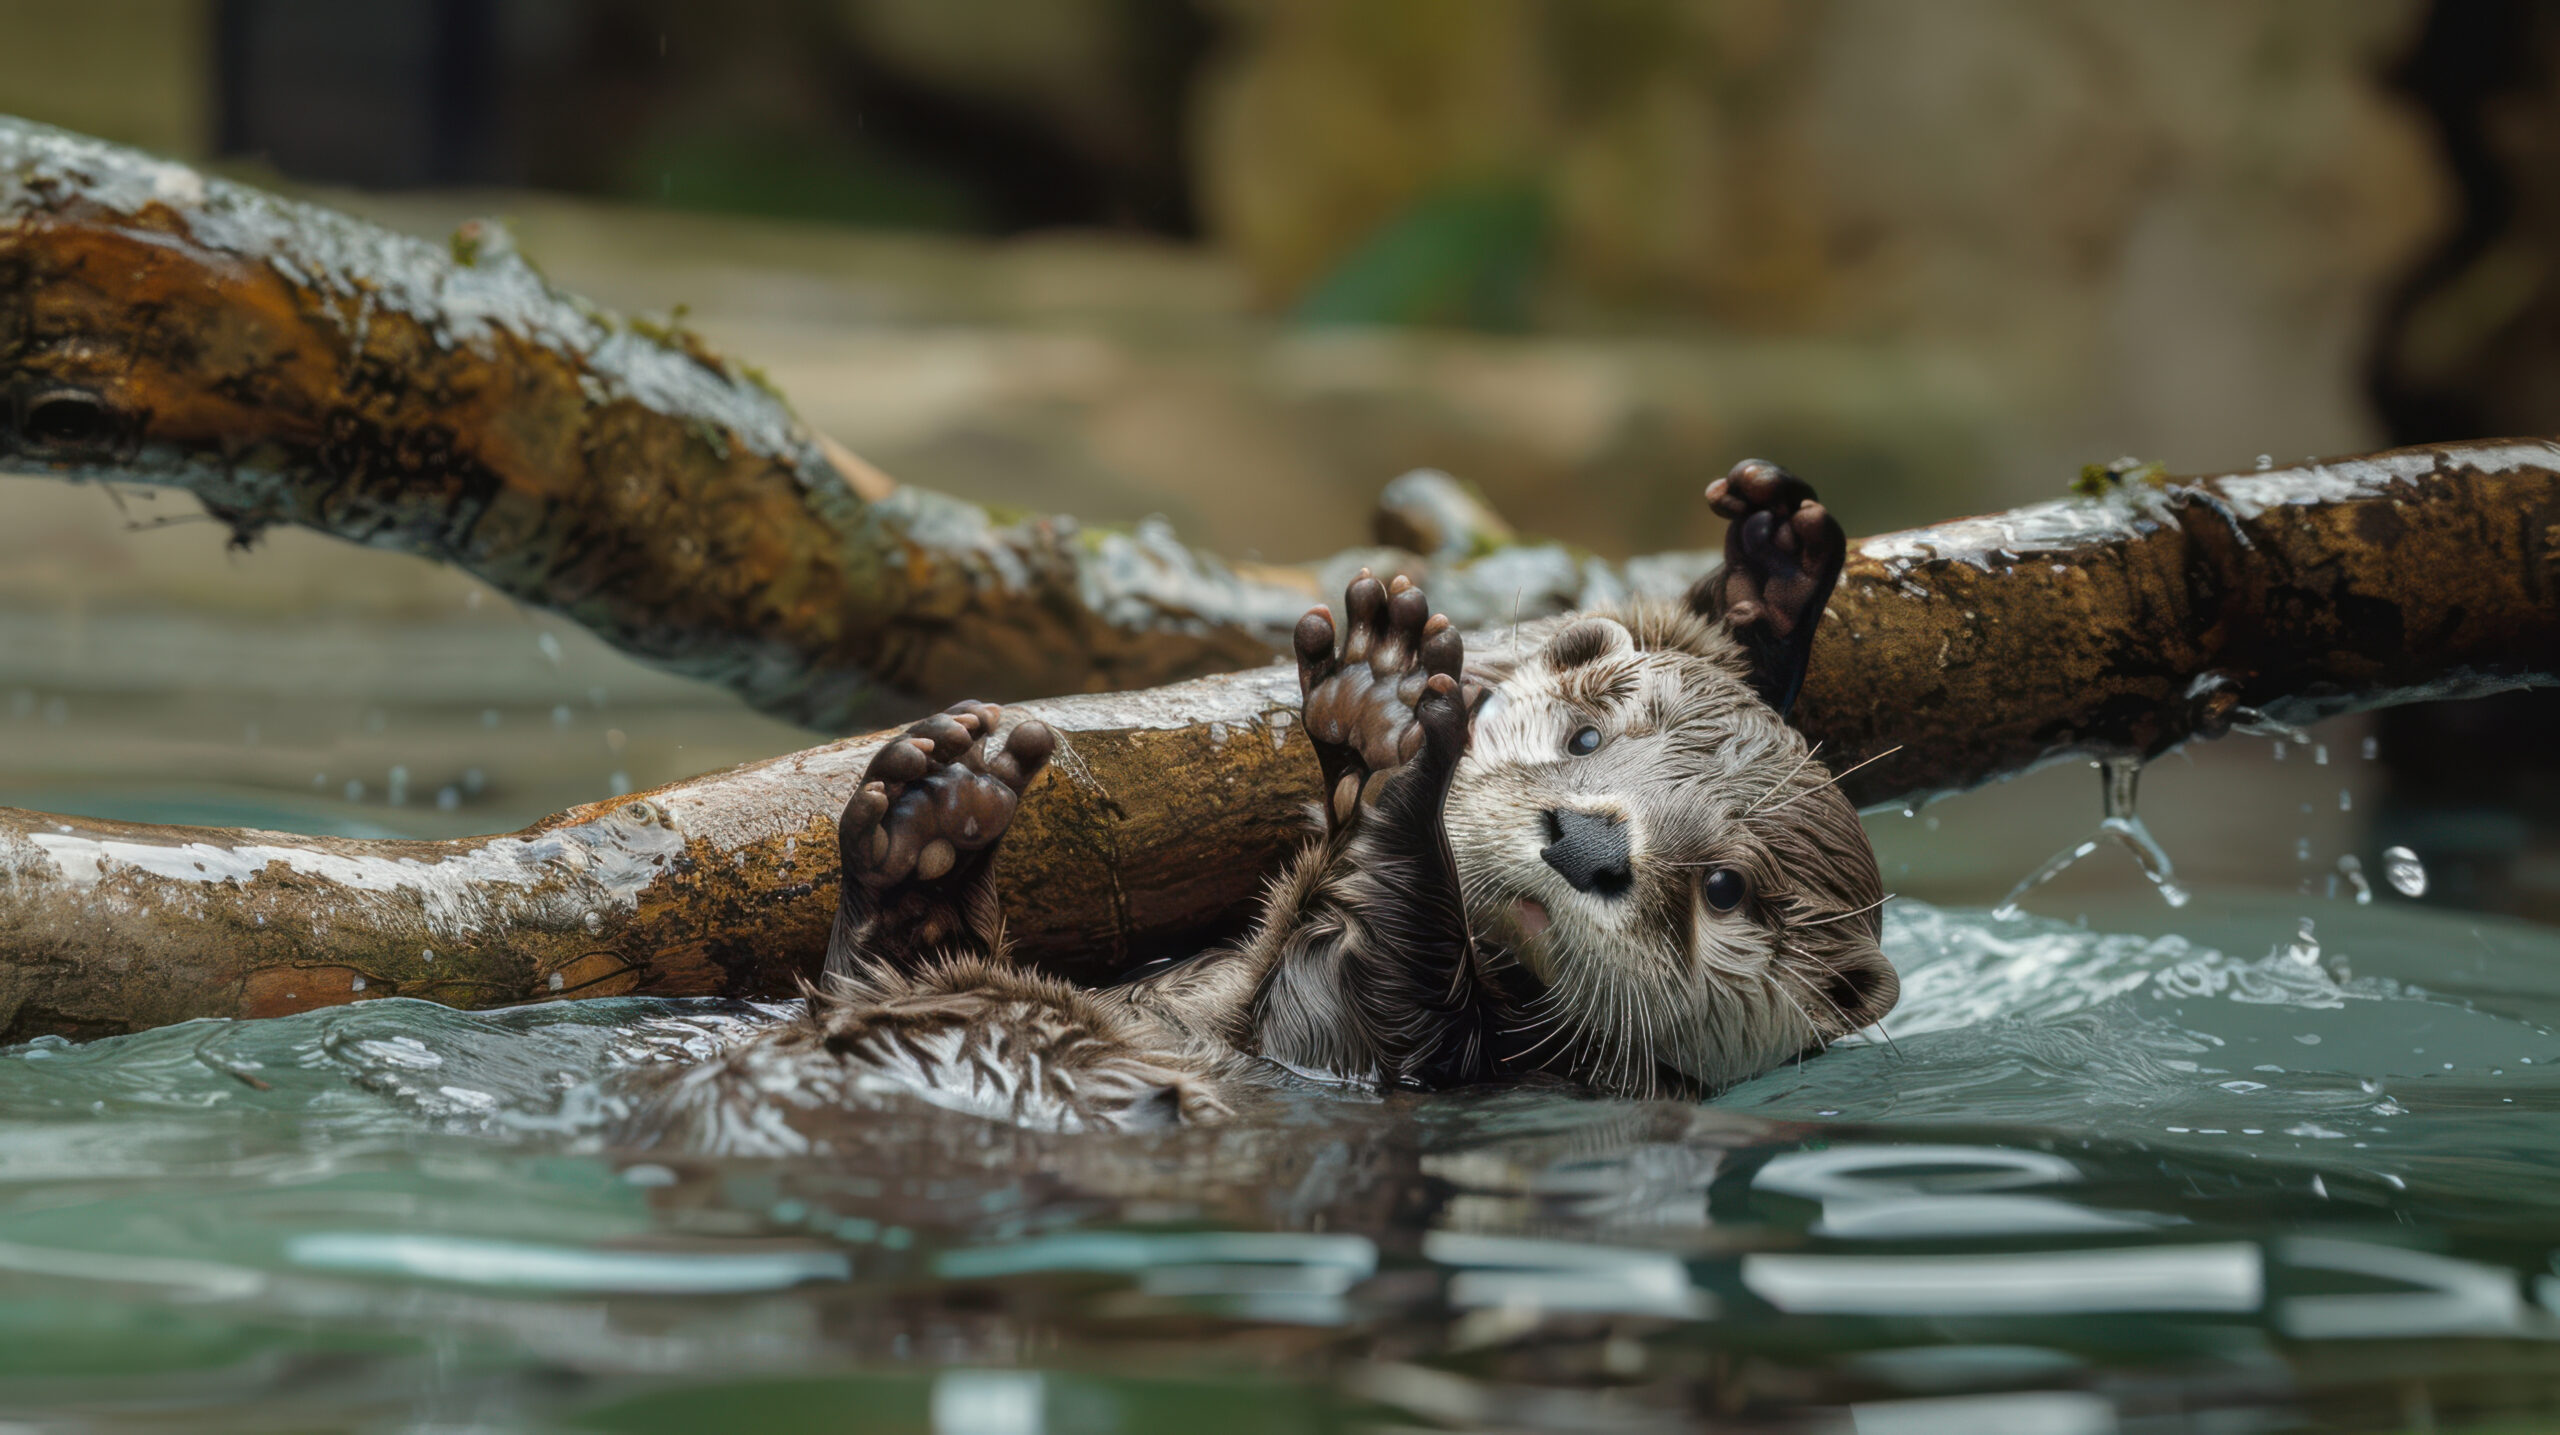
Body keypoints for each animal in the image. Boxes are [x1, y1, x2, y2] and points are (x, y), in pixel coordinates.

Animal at [629, 465, 1894, 1135]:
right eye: (1587, 737)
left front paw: (1390, 739)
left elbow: (1368, 972)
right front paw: (1770, 581)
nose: (1587, 841)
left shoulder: (1385, 1052)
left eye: (1725, 886)